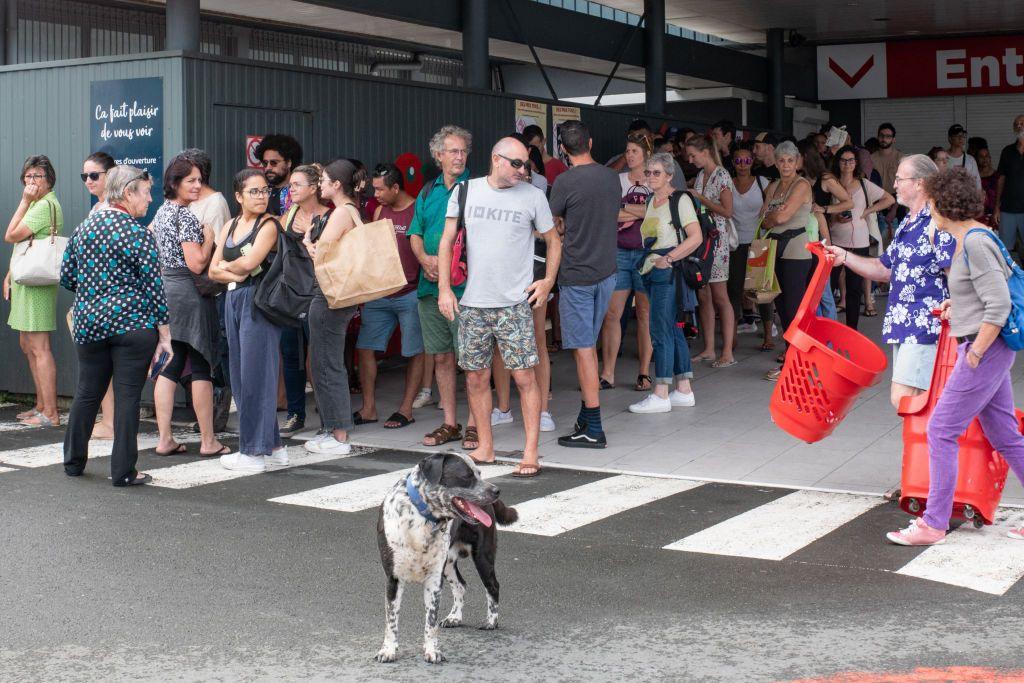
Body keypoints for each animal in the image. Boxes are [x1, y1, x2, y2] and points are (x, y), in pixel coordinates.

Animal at [374, 450, 516, 663]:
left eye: (480, 473)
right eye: (467, 476)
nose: (496, 490)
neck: (421, 517)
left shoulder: (434, 580)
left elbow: (430, 622)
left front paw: (432, 651)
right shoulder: (394, 578)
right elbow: (391, 620)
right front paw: (388, 650)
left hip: (482, 556)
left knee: (493, 585)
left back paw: (491, 621)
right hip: (448, 563)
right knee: (461, 585)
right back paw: (454, 617)